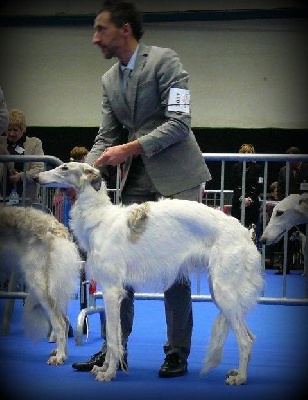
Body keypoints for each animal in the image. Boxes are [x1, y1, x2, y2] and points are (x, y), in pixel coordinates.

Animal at [0, 205, 80, 364]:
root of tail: (55, 227)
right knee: (66, 320)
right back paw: (62, 353)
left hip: (38, 283)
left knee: (60, 323)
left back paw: (59, 356)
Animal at [38, 162, 264, 384]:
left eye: (64, 168)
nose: (36, 177)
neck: (100, 219)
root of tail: (245, 232)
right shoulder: (117, 291)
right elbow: (114, 336)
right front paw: (102, 366)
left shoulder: (111, 290)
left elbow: (112, 337)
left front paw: (108, 373)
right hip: (221, 293)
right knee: (251, 337)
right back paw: (237, 371)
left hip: (223, 290)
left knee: (245, 340)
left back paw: (240, 377)